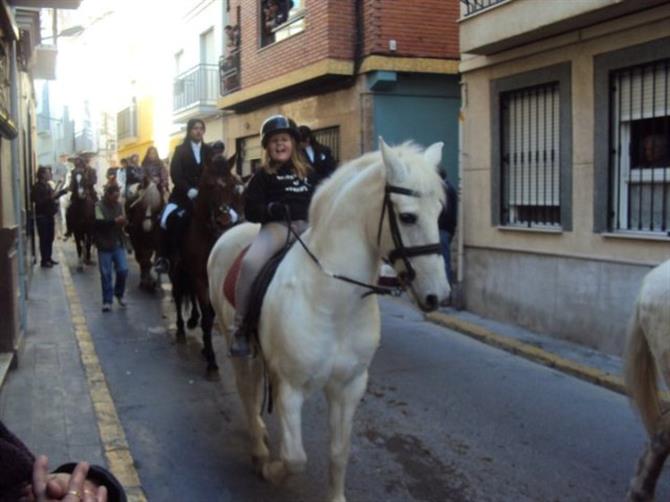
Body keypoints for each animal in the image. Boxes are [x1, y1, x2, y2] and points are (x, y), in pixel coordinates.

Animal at [168, 153, 244, 376]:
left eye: (232, 184)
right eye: (209, 185)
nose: (225, 217)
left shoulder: (212, 280)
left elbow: (209, 313)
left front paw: (206, 349)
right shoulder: (200, 279)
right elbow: (208, 318)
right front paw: (211, 360)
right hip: (176, 271)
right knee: (178, 296)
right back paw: (181, 329)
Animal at [210, 138, 452, 502]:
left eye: (439, 212)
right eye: (407, 217)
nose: (439, 295)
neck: (333, 301)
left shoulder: (349, 386)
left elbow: (339, 451)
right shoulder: (291, 388)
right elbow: (295, 458)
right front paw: (271, 469)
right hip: (236, 343)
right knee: (247, 392)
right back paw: (259, 448)